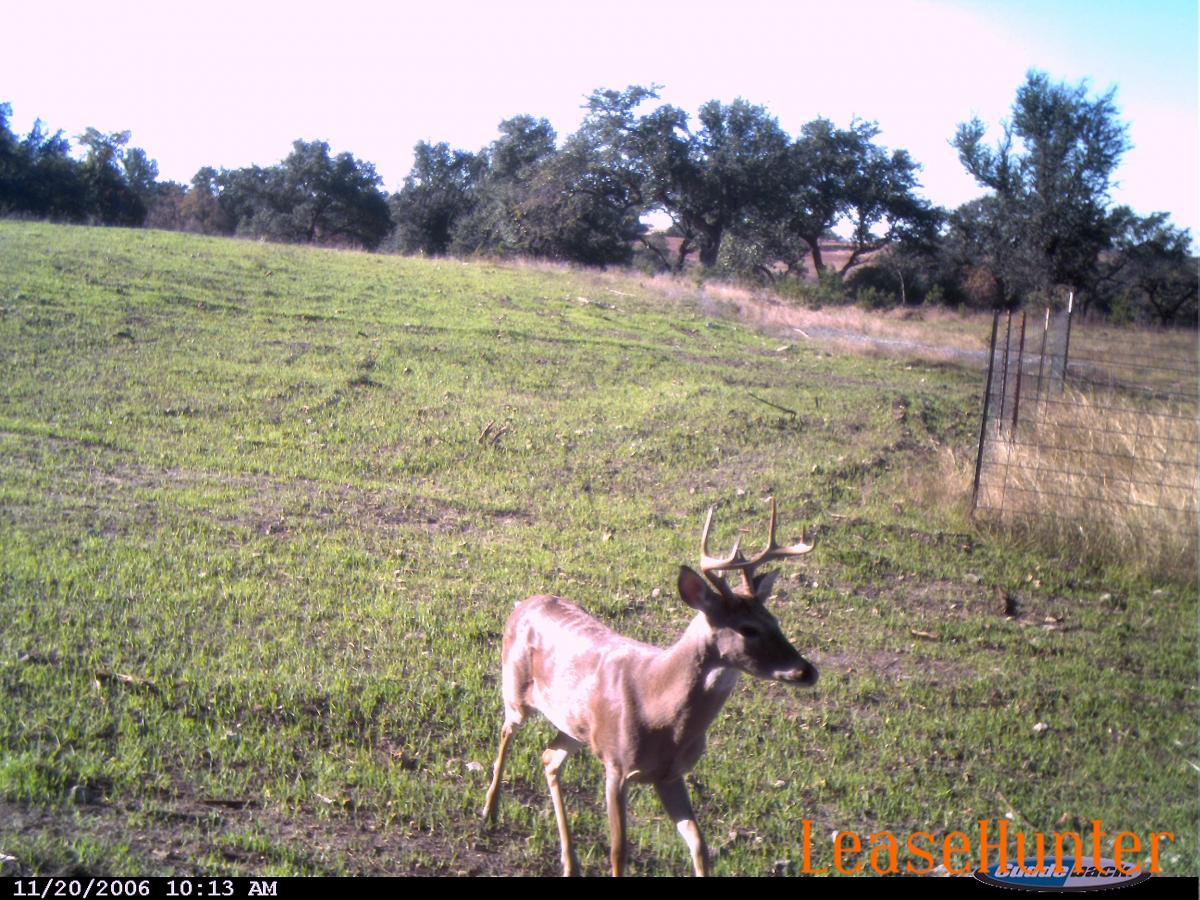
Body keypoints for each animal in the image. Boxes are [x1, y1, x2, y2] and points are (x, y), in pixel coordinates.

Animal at [481, 498, 818, 876]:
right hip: (516, 690)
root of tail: (524, 603)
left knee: (550, 758)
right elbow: (619, 851)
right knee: (507, 731)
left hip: (575, 727)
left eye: (775, 620)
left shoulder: (670, 775)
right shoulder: (616, 765)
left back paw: (570, 861)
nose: (807, 671)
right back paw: (489, 811)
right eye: (748, 629)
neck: (661, 712)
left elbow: (699, 845)